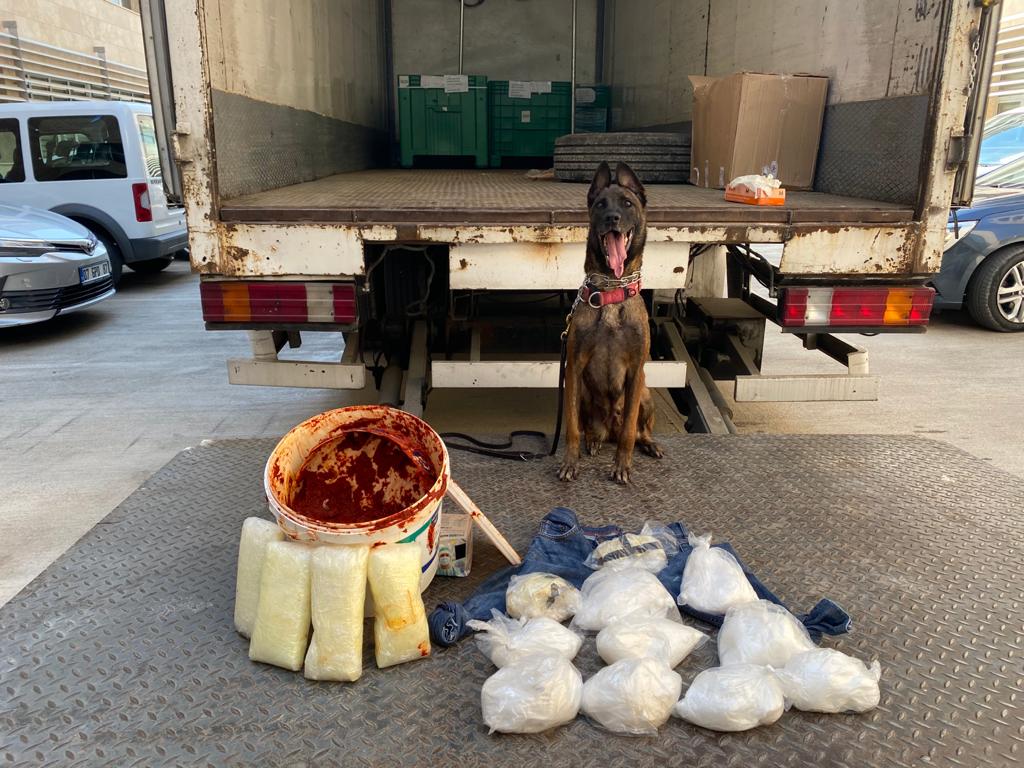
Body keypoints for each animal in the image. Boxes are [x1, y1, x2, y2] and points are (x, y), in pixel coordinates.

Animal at [557, 161, 659, 483]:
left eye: (627, 203)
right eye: (601, 204)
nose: (612, 217)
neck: (612, 291)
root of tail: (607, 431)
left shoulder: (636, 373)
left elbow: (628, 431)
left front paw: (622, 466)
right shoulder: (573, 369)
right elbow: (572, 427)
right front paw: (570, 462)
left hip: (646, 394)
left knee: (637, 431)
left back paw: (648, 443)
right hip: (585, 394)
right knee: (591, 430)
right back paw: (594, 440)